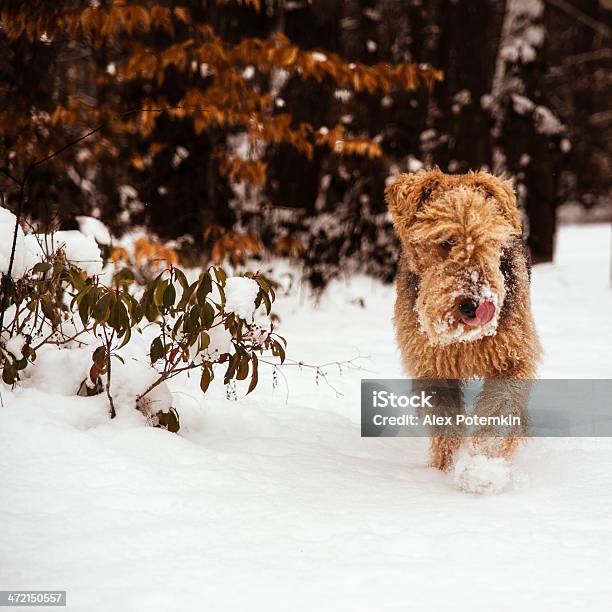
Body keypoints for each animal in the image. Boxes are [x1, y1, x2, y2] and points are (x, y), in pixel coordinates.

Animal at [388, 167, 540, 492]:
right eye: (446, 241)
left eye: (490, 240)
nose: (475, 305)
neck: (462, 340)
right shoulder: (432, 368)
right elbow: (446, 426)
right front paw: (444, 471)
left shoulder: (512, 359)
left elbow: (498, 412)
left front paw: (483, 471)